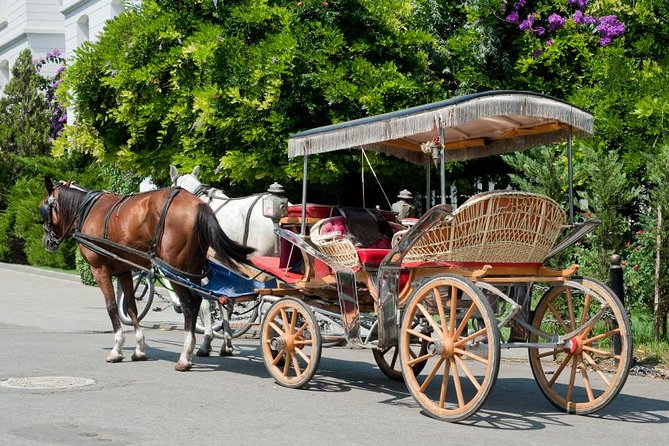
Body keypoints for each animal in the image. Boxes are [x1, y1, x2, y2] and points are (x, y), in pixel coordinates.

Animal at [39, 178, 253, 370]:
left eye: (43, 209)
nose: (47, 242)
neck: (88, 210)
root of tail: (198, 205)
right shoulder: (124, 271)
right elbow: (131, 307)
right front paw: (139, 349)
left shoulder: (100, 270)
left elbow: (111, 307)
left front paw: (117, 349)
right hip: (191, 270)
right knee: (201, 302)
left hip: (175, 270)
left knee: (190, 305)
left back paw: (185, 356)